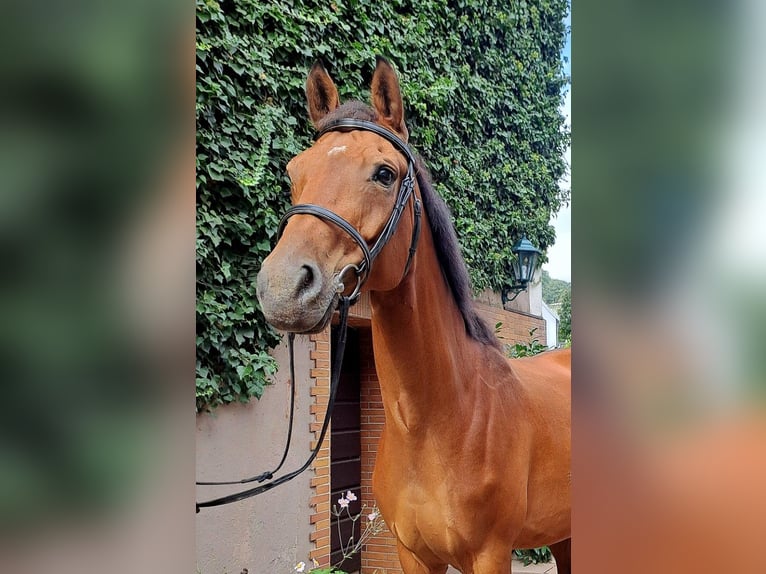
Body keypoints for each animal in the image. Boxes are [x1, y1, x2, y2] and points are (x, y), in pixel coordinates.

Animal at [258, 58, 568, 574]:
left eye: (384, 173)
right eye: (293, 171)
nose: (283, 288)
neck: (441, 422)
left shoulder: (491, 555)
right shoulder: (412, 554)